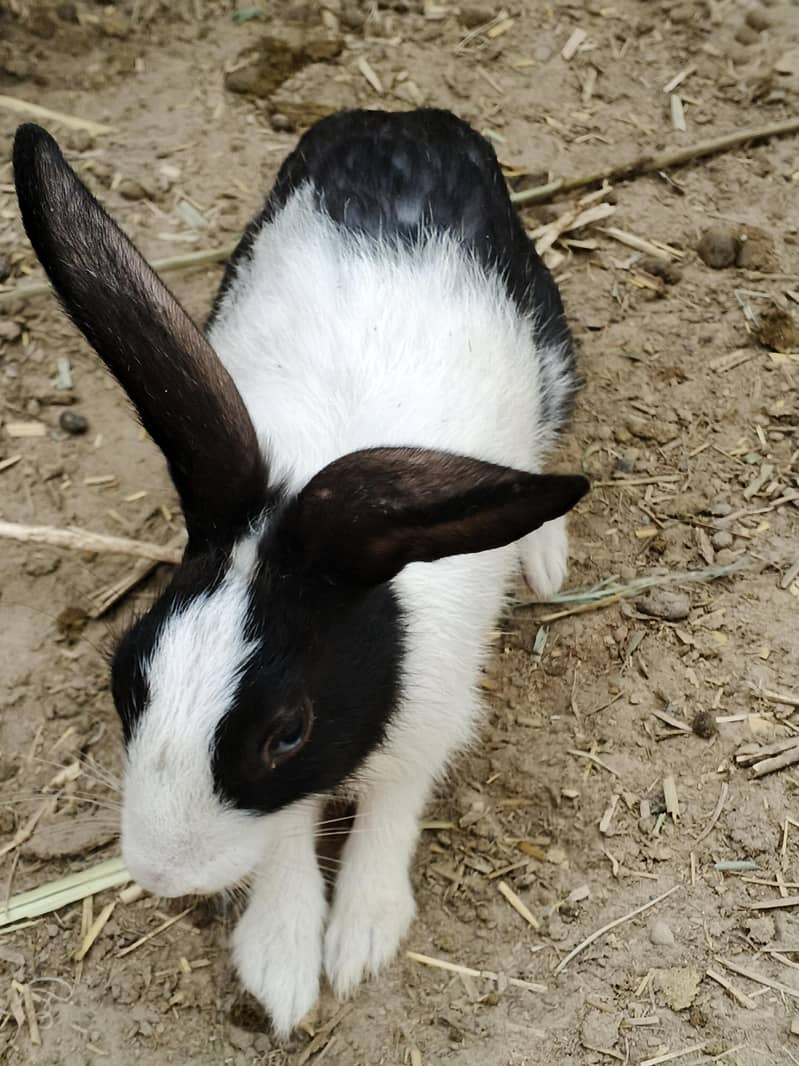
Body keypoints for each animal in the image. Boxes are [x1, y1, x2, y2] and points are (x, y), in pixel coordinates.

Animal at [13, 109, 588, 1037]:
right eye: (126, 681)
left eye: (287, 732)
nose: (162, 875)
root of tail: (401, 124)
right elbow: (287, 840)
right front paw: (281, 963)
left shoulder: (426, 730)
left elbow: (389, 814)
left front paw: (359, 938)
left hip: (550, 349)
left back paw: (541, 555)